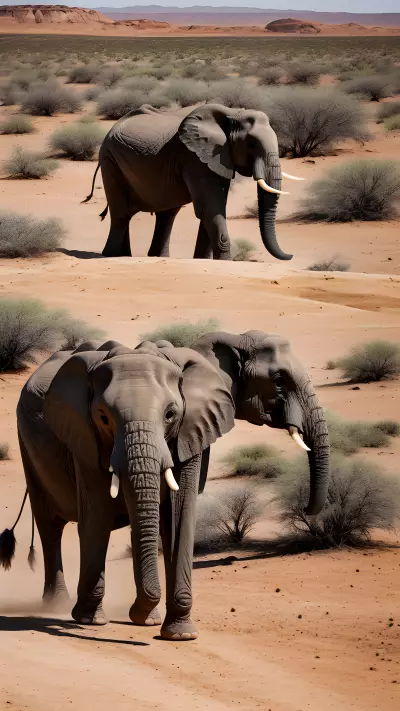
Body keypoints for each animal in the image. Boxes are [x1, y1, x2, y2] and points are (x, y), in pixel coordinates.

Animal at [0, 339, 234, 641]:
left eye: (170, 415)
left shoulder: (190, 432)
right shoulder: (85, 438)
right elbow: (96, 513)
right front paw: (89, 619)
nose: (135, 613)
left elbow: (179, 519)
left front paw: (179, 634)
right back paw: (57, 604)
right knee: (49, 526)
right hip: (27, 445)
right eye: (103, 417)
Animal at [83, 103, 302, 261]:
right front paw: (224, 262)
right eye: (251, 145)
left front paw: (203, 260)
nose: (291, 255)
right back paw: (114, 256)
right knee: (121, 213)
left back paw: (152, 257)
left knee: (166, 215)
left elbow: (214, 209)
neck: (232, 114)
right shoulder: (193, 157)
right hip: (109, 160)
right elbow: (210, 209)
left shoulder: (217, 159)